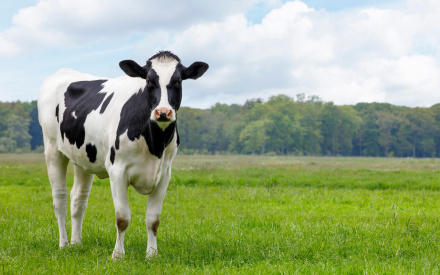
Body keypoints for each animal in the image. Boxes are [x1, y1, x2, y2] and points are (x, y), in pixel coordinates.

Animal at [37, 50, 209, 260]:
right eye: (149, 81)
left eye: (177, 81)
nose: (163, 112)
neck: (155, 144)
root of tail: (63, 71)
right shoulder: (117, 171)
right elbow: (122, 218)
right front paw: (118, 255)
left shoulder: (164, 175)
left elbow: (153, 220)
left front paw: (152, 254)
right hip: (52, 148)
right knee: (59, 197)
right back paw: (64, 244)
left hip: (83, 158)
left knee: (78, 198)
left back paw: (77, 243)